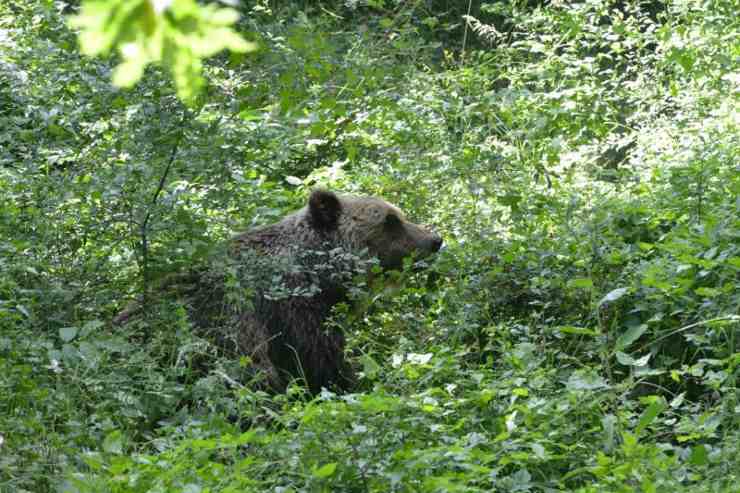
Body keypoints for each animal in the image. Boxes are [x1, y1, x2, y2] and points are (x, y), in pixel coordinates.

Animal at [117, 188, 440, 392]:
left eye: (398, 214)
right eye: (390, 220)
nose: (435, 239)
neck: (317, 272)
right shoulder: (289, 309)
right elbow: (320, 361)